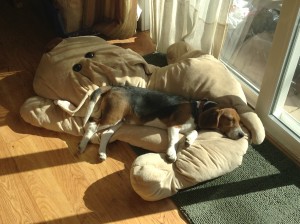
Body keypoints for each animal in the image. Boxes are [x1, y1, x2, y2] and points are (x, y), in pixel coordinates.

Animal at [78, 85, 245, 161]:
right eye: (230, 120)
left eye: (239, 121)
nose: (242, 135)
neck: (197, 109)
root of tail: (114, 87)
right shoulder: (174, 126)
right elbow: (173, 140)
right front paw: (171, 153)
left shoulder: (189, 127)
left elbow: (195, 131)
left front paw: (189, 140)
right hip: (113, 116)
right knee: (92, 124)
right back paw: (82, 145)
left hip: (119, 121)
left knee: (105, 134)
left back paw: (102, 152)